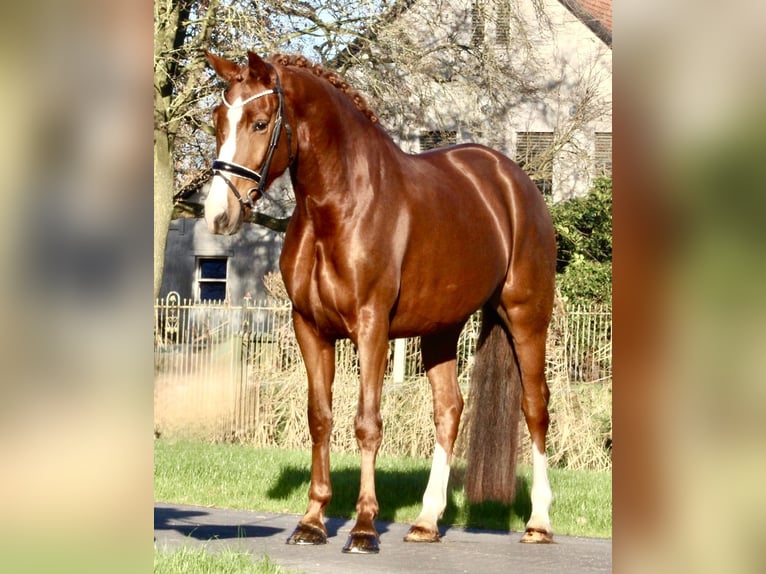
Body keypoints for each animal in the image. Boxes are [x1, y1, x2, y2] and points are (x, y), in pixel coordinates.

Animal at [202, 51, 560, 556]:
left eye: (259, 122)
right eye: (218, 120)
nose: (219, 214)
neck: (340, 205)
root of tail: (515, 182)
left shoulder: (371, 328)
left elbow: (367, 423)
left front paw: (364, 527)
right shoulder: (309, 328)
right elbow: (320, 419)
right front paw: (312, 521)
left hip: (527, 318)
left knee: (535, 407)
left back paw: (539, 523)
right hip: (441, 329)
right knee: (449, 409)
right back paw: (427, 521)